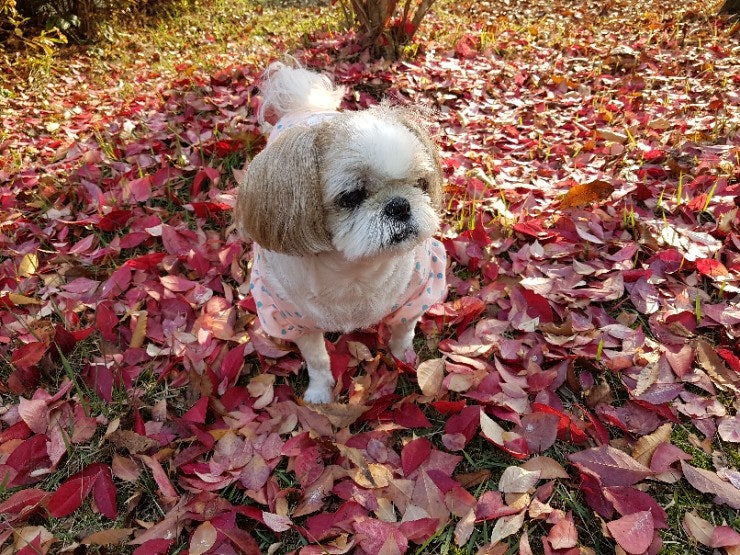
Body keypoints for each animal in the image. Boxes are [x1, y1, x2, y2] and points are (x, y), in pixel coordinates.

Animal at [234, 61, 446, 403]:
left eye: (419, 184)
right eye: (351, 197)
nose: (399, 205)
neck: (353, 272)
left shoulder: (420, 290)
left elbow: (404, 330)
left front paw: (404, 357)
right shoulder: (292, 320)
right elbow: (318, 360)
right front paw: (320, 392)